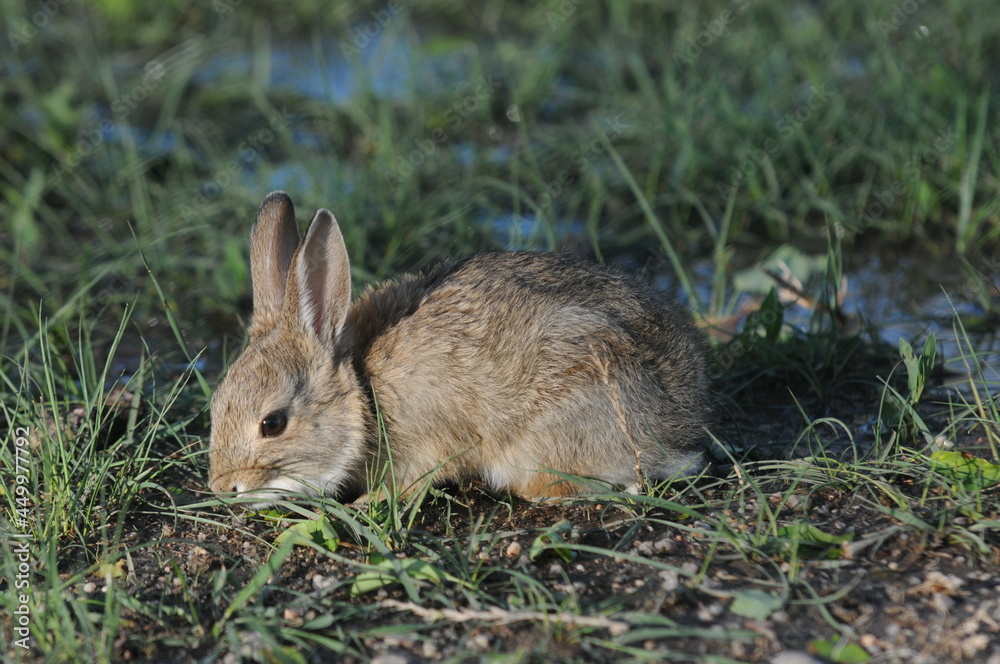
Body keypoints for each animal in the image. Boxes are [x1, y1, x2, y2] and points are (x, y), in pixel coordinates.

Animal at [208, 191, 711, 506]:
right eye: (214, 407)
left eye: (273, 424)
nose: (222, 488)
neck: (361, 390)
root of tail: (680, 422)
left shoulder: (428, 442)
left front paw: (367, 502)